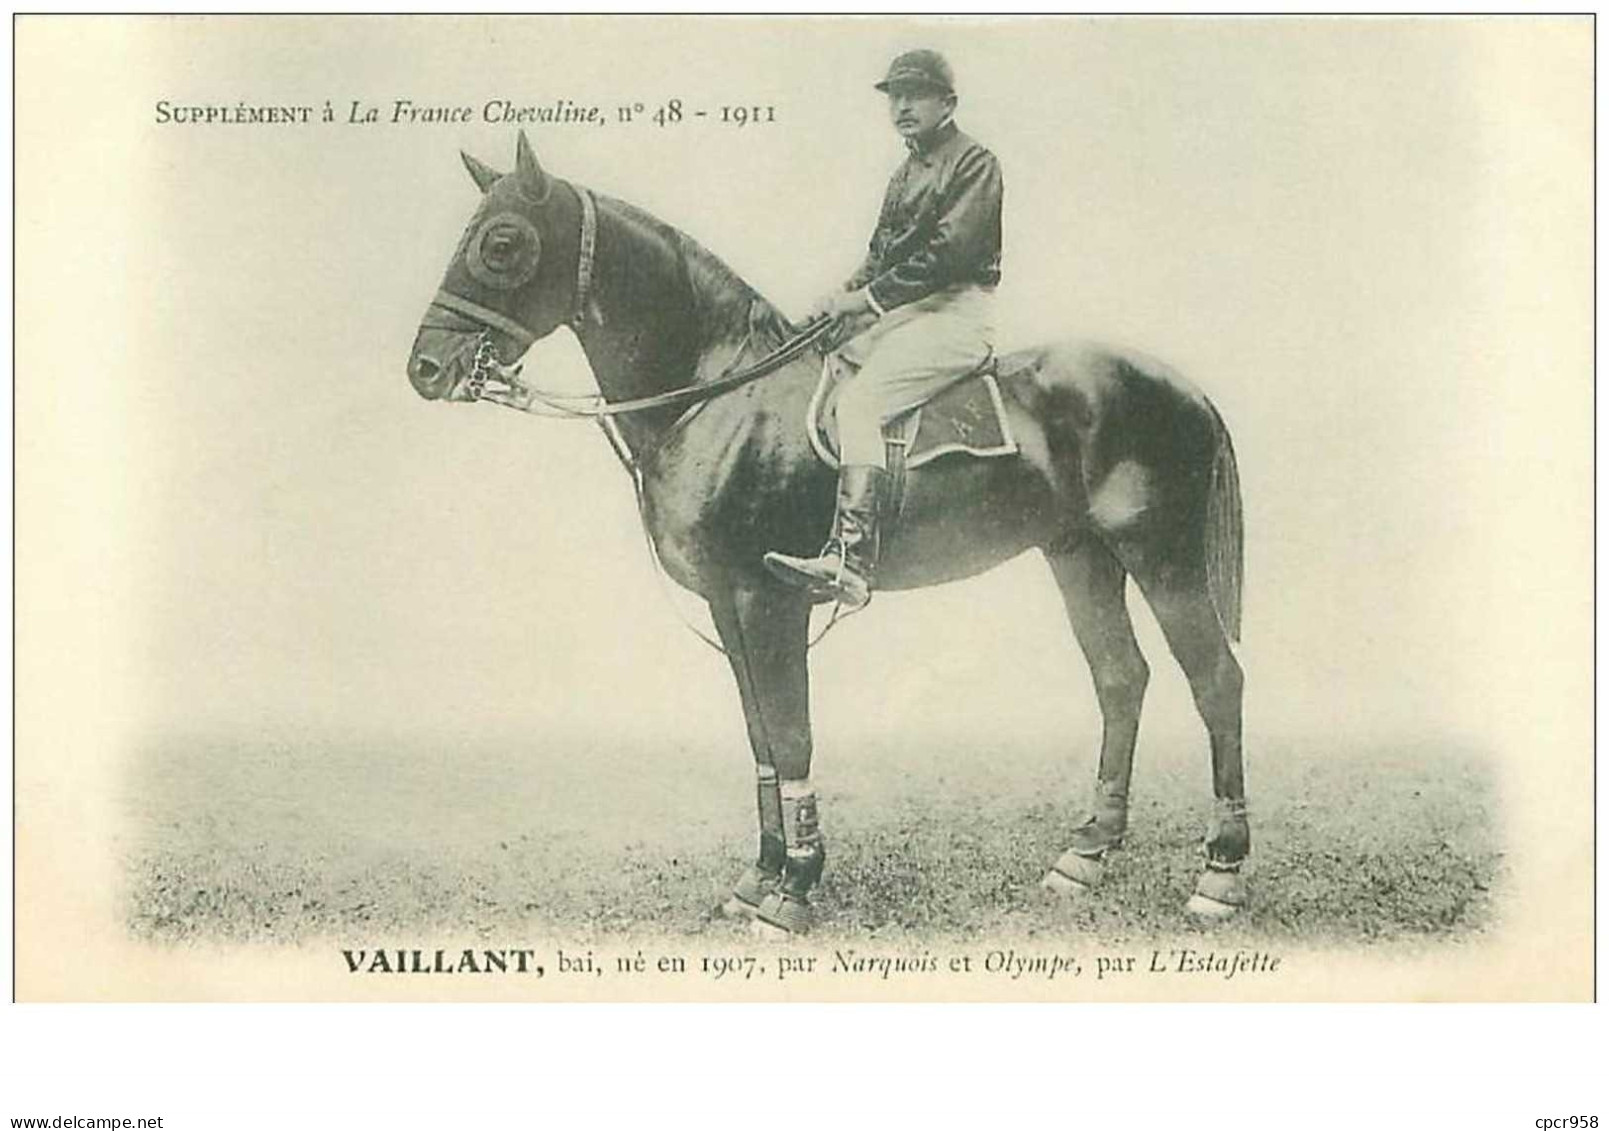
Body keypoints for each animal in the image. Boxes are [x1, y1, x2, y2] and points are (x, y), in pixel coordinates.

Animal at [408, 128, 1248, 933]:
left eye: (502, 242)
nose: (425, 368)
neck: (718, 392)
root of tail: (1186, 387)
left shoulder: (767, 601)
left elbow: (792, 735)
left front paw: (794, 887)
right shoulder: (727, 605)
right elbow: (760, 740)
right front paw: (758, 878)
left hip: (1162, 558)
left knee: (1215, 681)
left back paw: (1220, 874)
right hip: (1079, 556)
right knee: (1120, 679)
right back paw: (1085, 856)